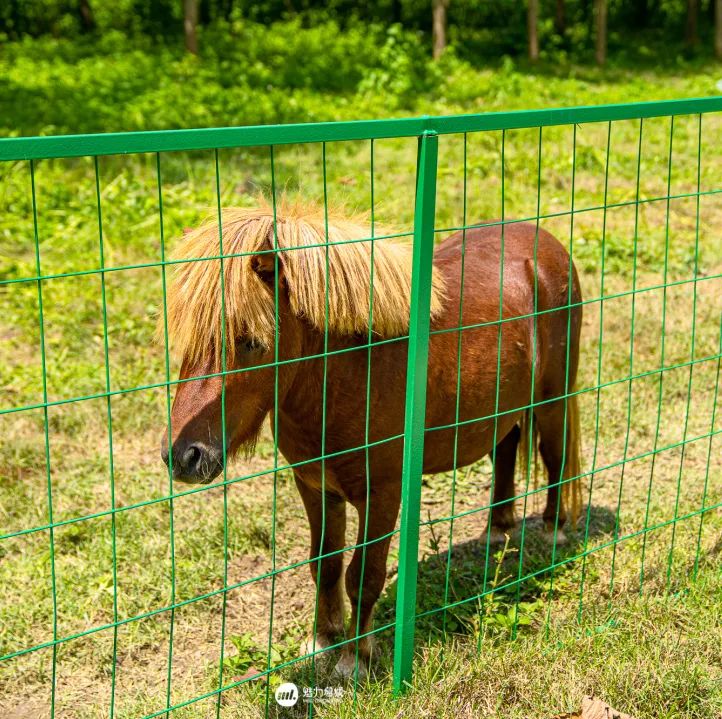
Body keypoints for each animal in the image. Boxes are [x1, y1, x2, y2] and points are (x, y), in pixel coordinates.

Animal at [158, 201, 580, 680]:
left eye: (251, 343)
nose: (184, 456)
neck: (351, 373)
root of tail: (545, 245)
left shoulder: (383, 495)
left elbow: (364, 576)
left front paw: (356, 659)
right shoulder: (315, 487)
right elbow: (324, 563)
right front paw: (322, 641)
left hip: (553, 396)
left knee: (553, 453)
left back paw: (554, 530)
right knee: (506, 446)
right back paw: (498, 528)